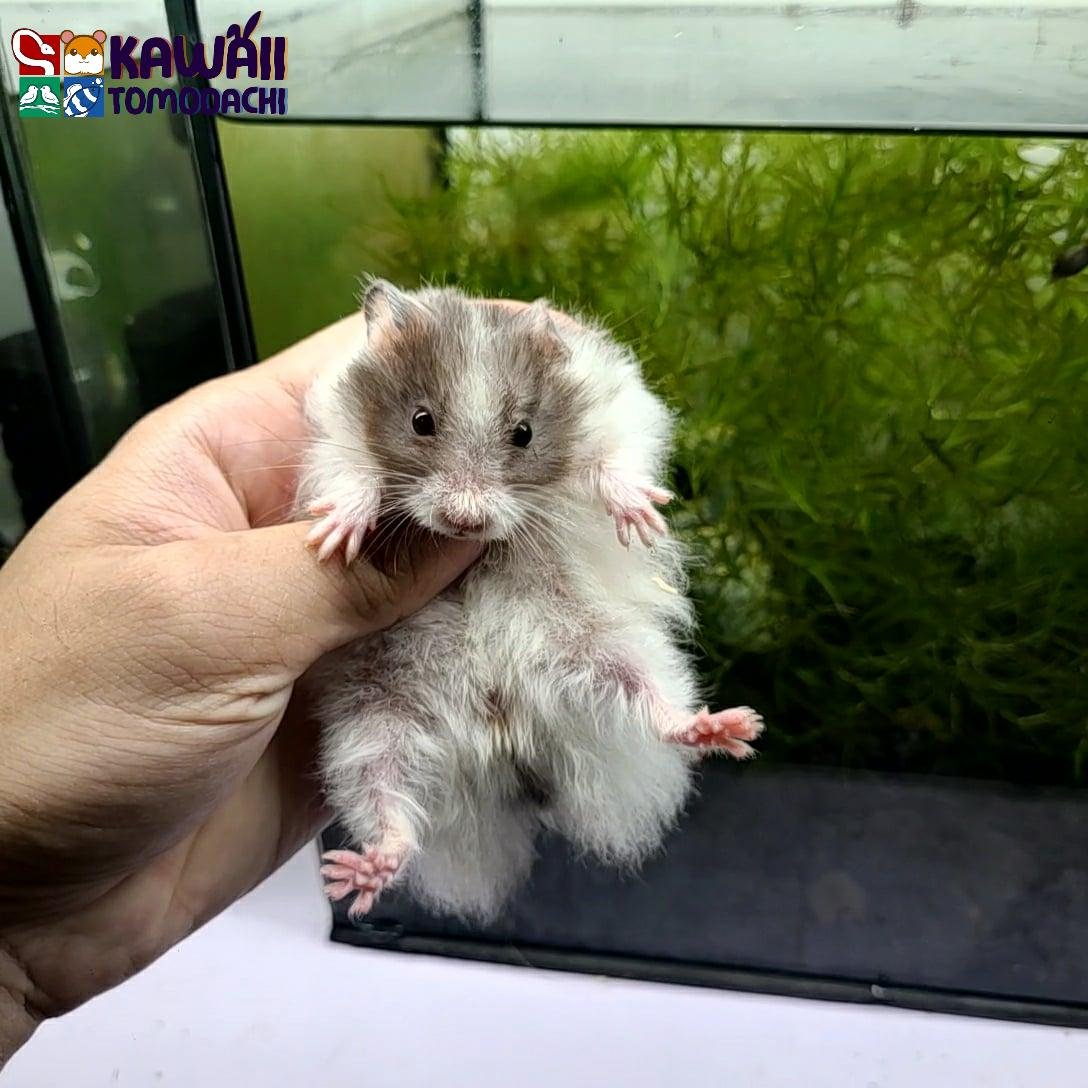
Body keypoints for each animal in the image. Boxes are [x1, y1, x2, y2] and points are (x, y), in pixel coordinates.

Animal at [299, 281, 764, 922]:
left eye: (524, 433)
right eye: (421, 421)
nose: (465, 522)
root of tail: (500, 737)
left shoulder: (620, 410)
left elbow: (612, 462)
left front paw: (640, 517)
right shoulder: (333, 434)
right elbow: (355, 473)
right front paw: (335, 537)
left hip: (606, 649)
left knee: (655, 705)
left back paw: (730, 729)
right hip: (372, 725)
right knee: (390, 808)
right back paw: (362, 873)